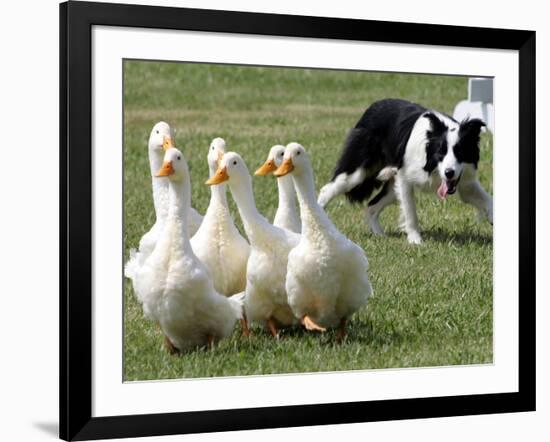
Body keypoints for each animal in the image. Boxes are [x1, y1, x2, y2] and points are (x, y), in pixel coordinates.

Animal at [320, 98, 496, 243]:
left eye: (460, 152)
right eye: (441, 152)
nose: (449, 173)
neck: (431, 166)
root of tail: (373, 107)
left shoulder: (465, 182)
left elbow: (487, 199)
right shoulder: (404, 178)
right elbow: (411, 212)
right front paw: (415, 241)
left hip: (392, 188)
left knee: (371, 206)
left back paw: (379, 235)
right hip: (358, 172)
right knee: (328, 190)